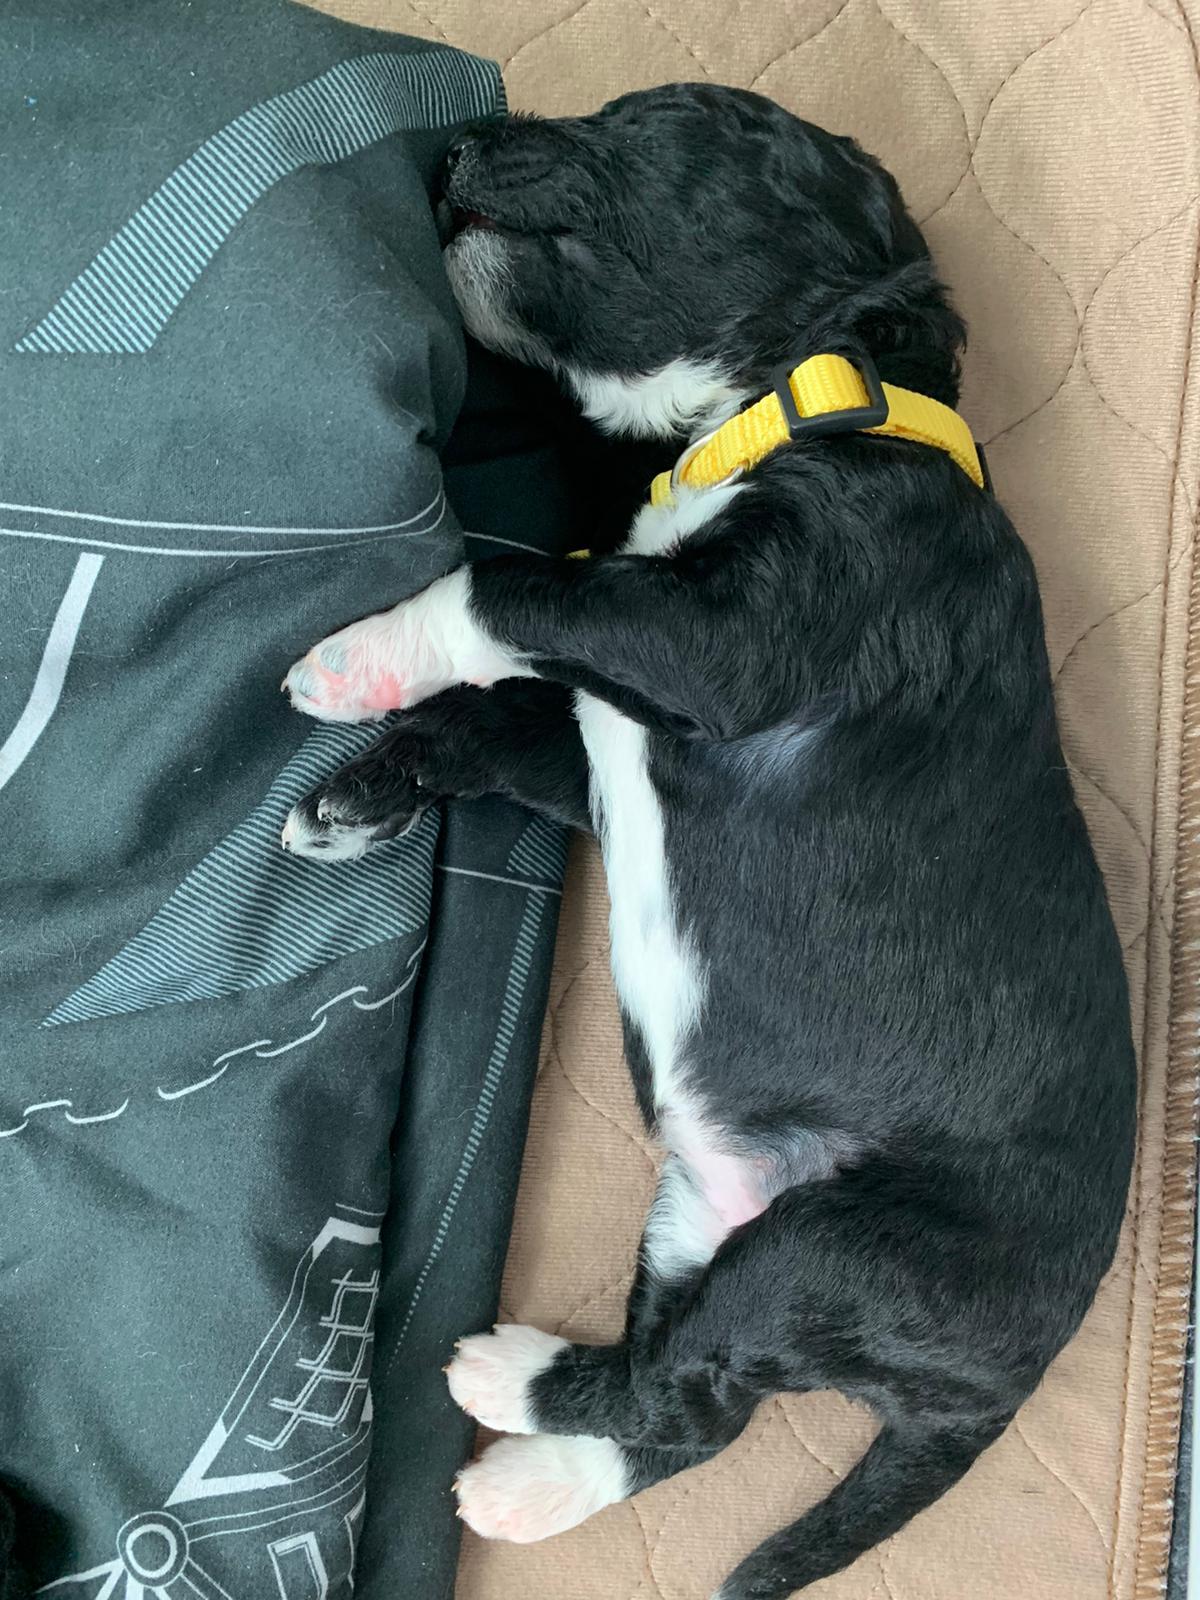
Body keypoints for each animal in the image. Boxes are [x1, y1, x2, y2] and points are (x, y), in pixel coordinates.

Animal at [278, 86, 1136, 1600]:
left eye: (669, 122)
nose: (459, 142)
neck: (805, 403)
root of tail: (1005, 1382)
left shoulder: (726, 644)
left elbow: (511, 585)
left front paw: (357, 653)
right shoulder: (612, 729)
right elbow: (493, 718)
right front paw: (356, 790)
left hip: (834, 1247)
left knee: (688, 1386)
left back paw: (515, 1394)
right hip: (703, 1214)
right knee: (696, 1400)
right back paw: (542, 1470)